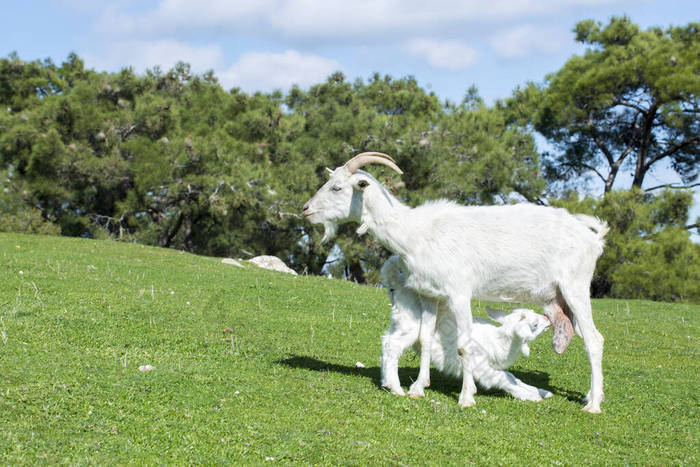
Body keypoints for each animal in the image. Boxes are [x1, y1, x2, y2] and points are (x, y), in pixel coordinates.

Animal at [380, 256, 556, 402]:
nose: (548, 319)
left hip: (399, 322)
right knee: (393, 346)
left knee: (387, 341)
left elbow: (512, 376)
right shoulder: (482, 367)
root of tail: (398, 284)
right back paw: (396, 387)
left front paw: (541, 391)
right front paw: (531, 396)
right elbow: (503, 378)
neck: (500, 341)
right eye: (534, 324)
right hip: (411, 324)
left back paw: (386, 382)